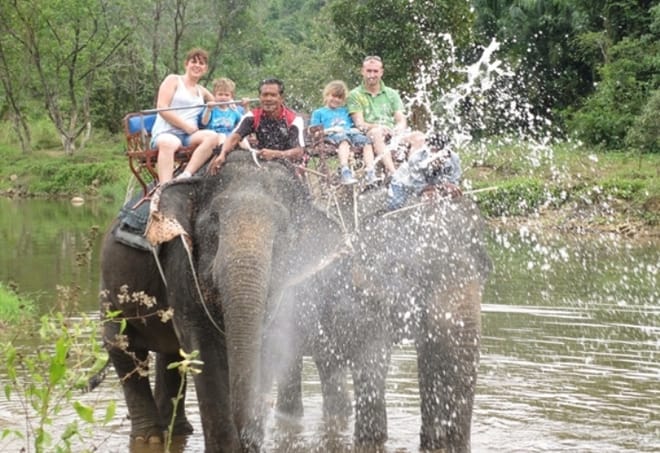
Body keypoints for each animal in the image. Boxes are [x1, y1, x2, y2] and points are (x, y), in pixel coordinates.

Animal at [99, 150, 344, 452]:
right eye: (213, 222)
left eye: (284, 231)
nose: (246, 436)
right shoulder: (181, 257)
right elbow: (203, 349)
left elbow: (266, 345)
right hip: (110, 290)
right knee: (121, 344)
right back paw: (151, 437)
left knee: (171, 354)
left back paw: (177, 430)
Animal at [285, 185, 491, 452]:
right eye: (415, 273)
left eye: (485, 270)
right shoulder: (358, 293)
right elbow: (373, 360)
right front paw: (371, 441)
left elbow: (429, 357)